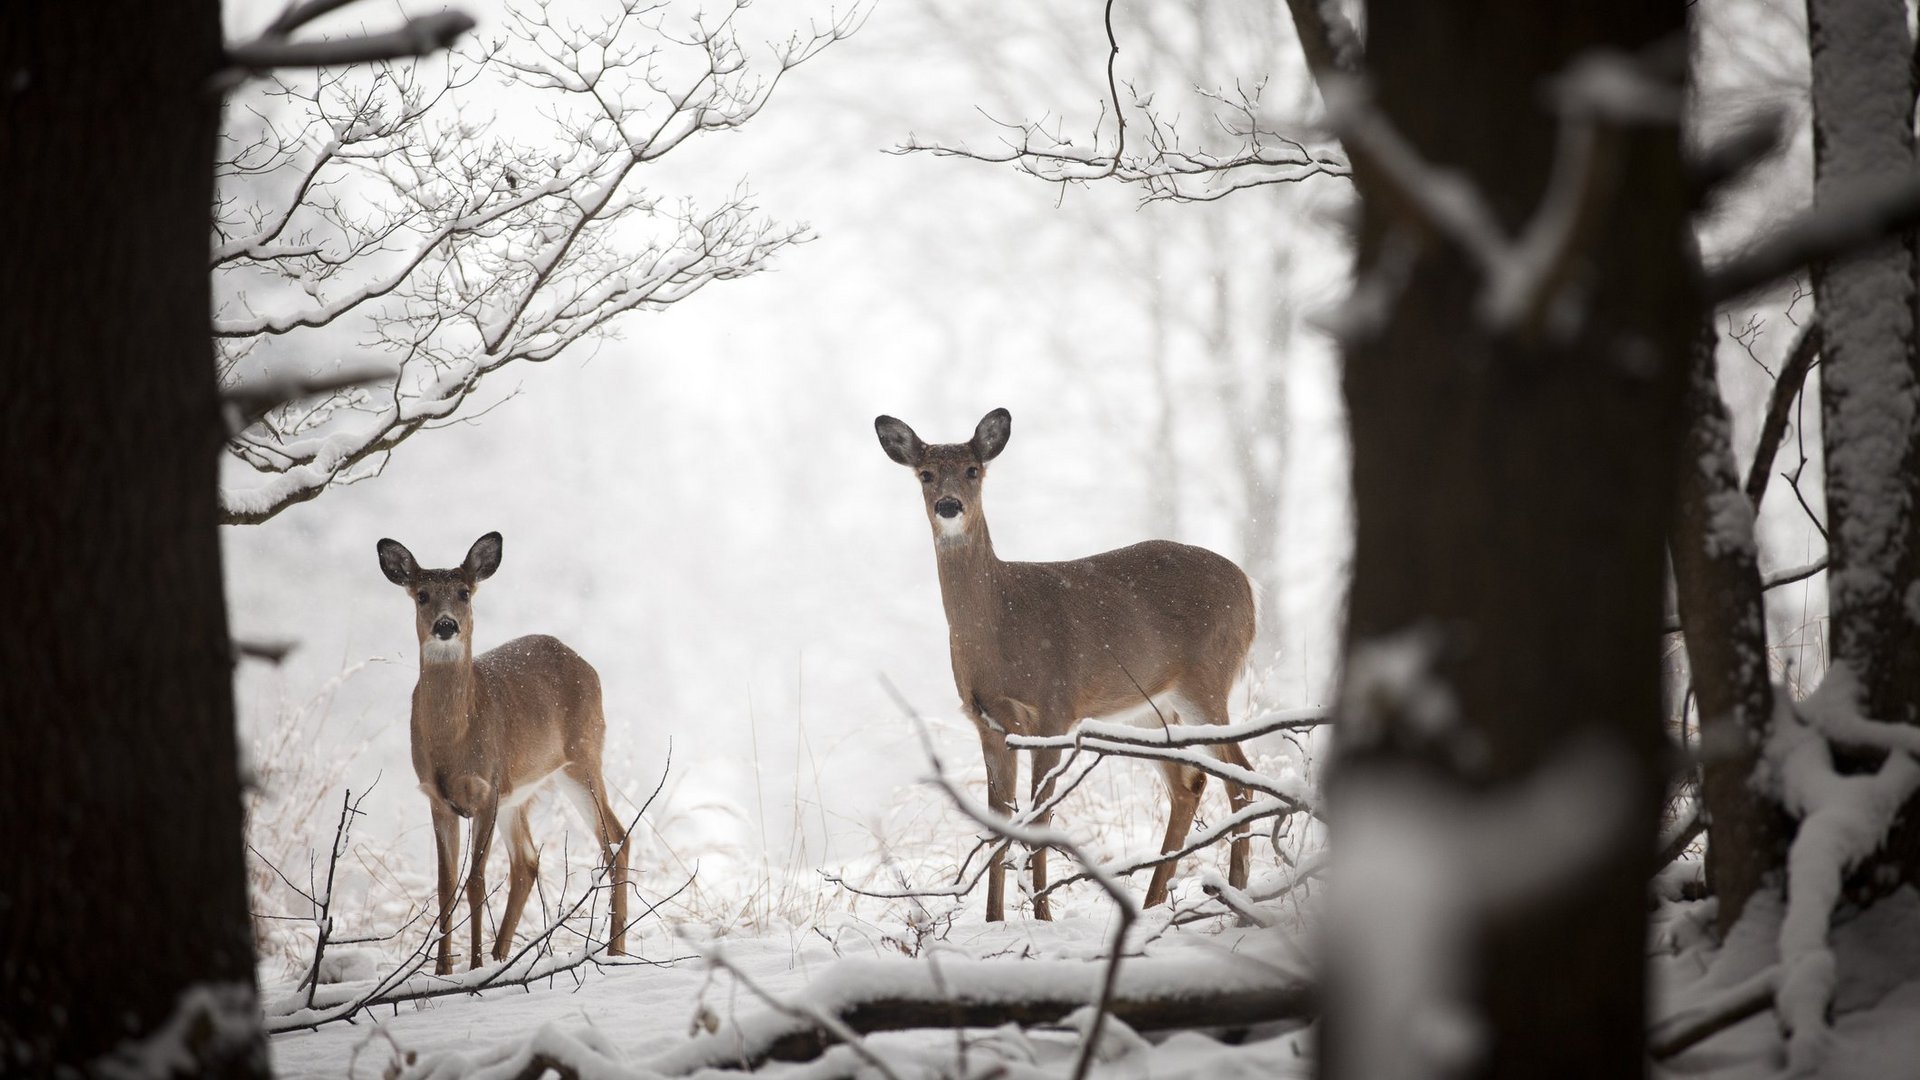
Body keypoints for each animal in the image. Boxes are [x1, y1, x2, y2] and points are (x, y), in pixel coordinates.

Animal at [378, 530, 633, 976]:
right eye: (422, 595)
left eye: (464, 592)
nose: (447, 625)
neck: (453, 738)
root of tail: (583, 662)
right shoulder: (437, 797)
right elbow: (445, 884)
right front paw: (443, 971)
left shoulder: (487, 789)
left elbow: (475, 880)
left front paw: (473, 966)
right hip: (521, 792)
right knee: (528, 861)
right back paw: (502, 956)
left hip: (583, 758)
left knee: (616, 838)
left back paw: (614, 952)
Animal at [871, 409, 1259, 914]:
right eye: (926, 474)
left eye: (974, 470)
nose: (949, 506)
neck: (1002, 622)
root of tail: (1249, 588)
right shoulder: (988, 721)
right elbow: (999, 819)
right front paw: (994, 918)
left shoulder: (1054, 708)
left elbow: (1041, 816)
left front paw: (1042, 915)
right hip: (1149, 710)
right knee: (1188, 786)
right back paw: (1153, 904)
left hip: (1206, 679)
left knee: (1241, 779)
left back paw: (1236, 895)